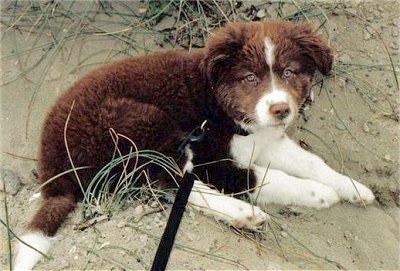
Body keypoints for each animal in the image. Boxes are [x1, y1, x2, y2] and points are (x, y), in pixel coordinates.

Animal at [13, 20, 376, 270]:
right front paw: (320, 194)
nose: (280, 110)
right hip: (140, 124)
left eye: (289, 72)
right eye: (250, 78)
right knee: (171, 183)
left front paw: (353, 188)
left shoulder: (263, 139)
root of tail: (53, 176)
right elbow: (263, 177)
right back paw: (243, 214)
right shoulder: (211, 156)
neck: (218, 103)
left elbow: (311, 162)